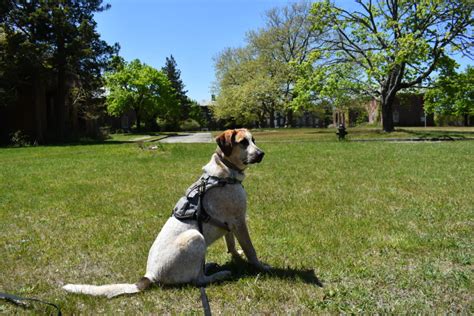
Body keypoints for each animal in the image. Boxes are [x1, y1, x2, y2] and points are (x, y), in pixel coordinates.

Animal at [63, 127, 268, 298]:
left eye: (253, 140)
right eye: (243, 142)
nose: (261, 154)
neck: (225, 172)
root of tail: (150, 276)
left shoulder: (229, 225)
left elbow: (231, 245)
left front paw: (237, 257)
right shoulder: (239, 221)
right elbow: (251, 250)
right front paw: (261, 267)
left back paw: (209, 265)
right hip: (195, 236)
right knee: (198, 280)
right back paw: (220, 274)